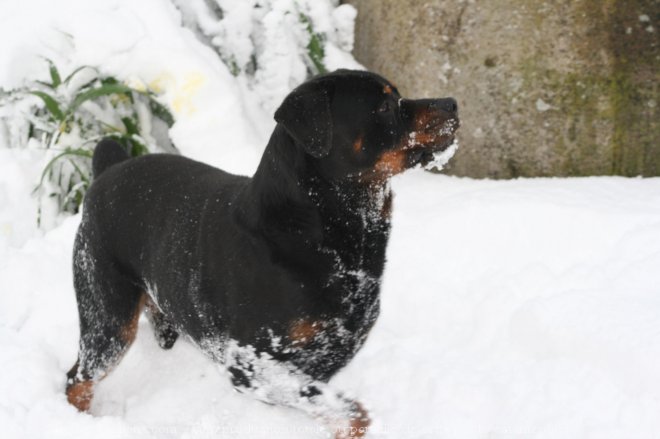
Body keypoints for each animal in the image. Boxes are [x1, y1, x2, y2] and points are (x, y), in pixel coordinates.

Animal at [67, 70, 458, 438]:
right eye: (384, 106)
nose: (452, 103)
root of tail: (107, 170)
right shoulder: (250, 364)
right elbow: (350, 412)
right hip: (107, 318)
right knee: (78, 378)